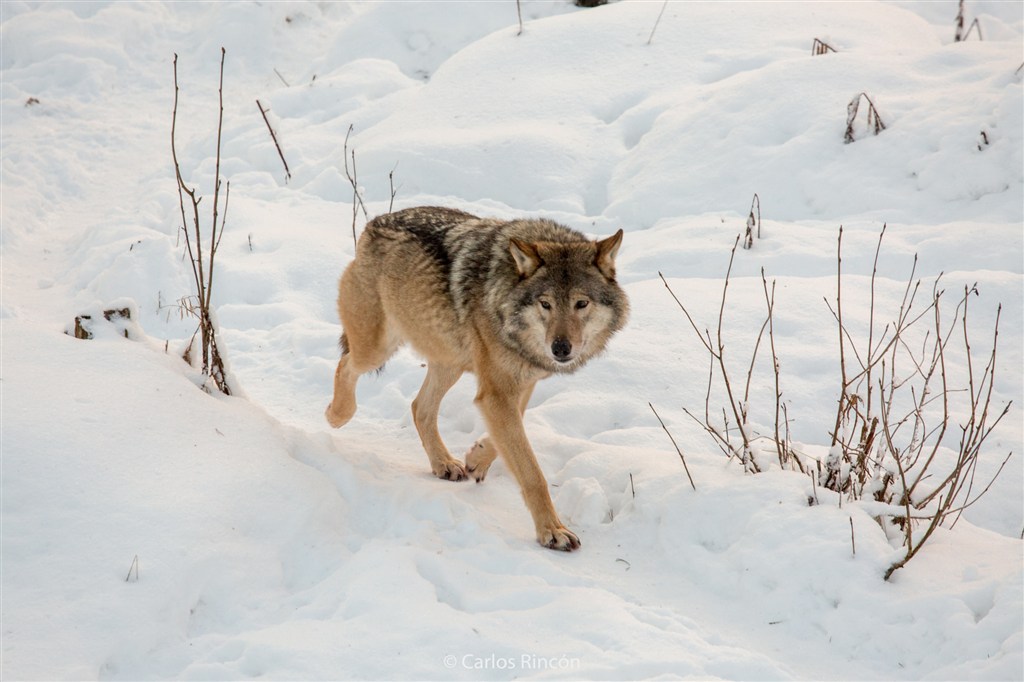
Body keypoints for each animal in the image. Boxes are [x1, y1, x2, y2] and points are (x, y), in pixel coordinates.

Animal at [323, 205, 626, 548]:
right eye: (545, 304)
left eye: (581, 303)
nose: (560, 348)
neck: (504, 297)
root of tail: (373, 224)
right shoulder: (497, 392)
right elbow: (532, 473)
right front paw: (552, 531)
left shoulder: (518, 385)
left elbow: (510, 434)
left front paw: (477, 457)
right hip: (377, 349)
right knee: (345, 365)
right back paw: (336, 415)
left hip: (449, 360)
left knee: (419, 407)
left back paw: (443, 463)